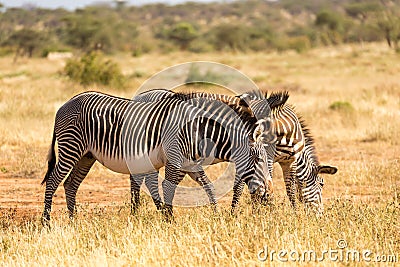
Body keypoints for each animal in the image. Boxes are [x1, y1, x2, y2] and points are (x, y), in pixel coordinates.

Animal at [41, 91, 276, 225]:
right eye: (258, 160)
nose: (269, 193)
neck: (198, 130)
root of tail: (66, 103)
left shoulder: (190, 164)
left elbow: (208, 186)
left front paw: (217, 216)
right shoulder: (175, 159)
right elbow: (168, 188)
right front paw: (170, 221)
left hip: (86, 156)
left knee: (71, 184)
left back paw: (74, 221)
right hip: (71, 148)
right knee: (53, 181)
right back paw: (46, 222)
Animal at [134, 89, 338, 215]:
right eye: (322, 185)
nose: (319, 215)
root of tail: (140, 96)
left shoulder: (284, 161)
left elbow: (288, 189)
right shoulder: (268, 157)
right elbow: (252, 185)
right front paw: (260, 212)